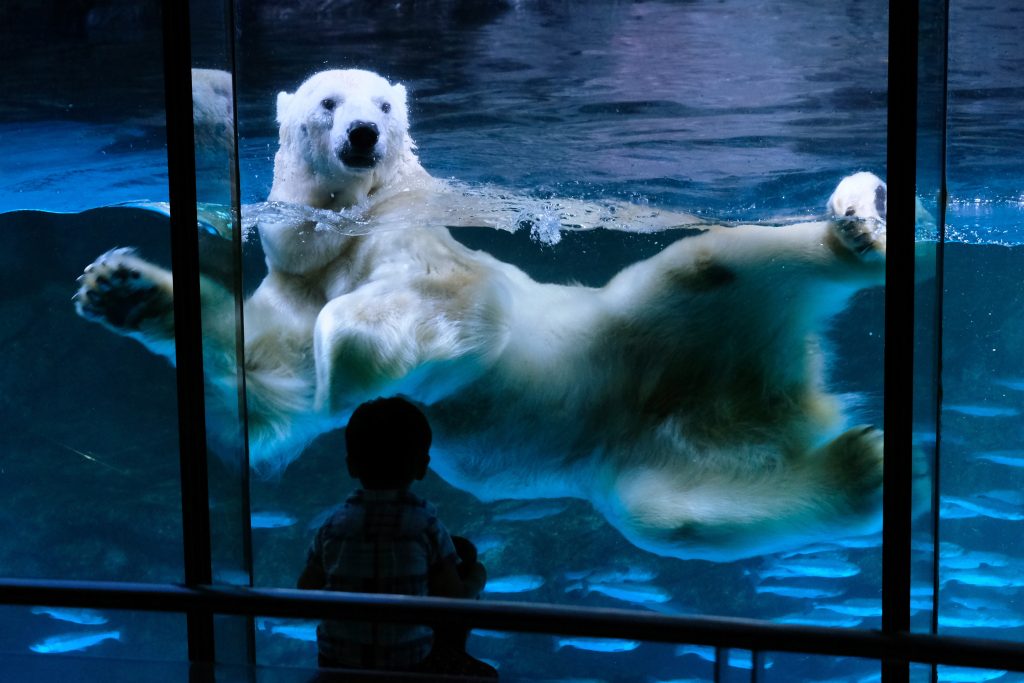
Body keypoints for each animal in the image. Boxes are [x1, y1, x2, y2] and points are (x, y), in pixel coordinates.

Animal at [74, 68, 888, 561]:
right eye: (327, 104)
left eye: (384, 105)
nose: (364, 134)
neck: (343, 230)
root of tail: (775, 390)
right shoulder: (297, 281)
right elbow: (273, 378)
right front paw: (120, 288)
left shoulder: (431, 257)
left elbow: (439, 307)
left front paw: (346, 371)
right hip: (649, 459)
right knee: (680, 516)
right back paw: (864, 465)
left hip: (642, 311)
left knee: (710, 259)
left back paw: (857, 223)